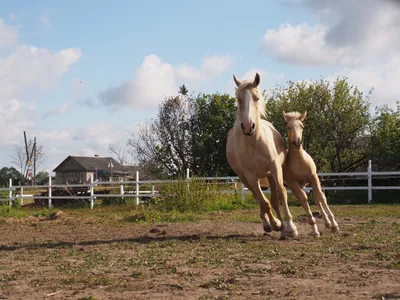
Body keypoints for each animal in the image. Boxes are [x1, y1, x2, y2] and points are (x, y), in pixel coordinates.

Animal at [227, 73, 298, 239]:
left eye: (256, 98)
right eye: (238, 98)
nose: (248, 127)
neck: (254, 143)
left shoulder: (275, 168)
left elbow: (281, 194)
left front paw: (290, 227)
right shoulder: (250, 176)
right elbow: (263, 202)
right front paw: (275, 224)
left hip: (269, 175)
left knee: (274, 199)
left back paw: (283, 228)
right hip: (246, 179)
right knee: (260, 199)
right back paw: (269, 224)